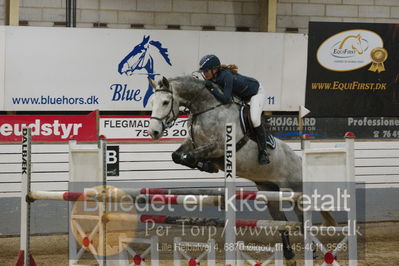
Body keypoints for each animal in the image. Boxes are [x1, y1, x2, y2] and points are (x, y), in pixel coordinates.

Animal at [148, 76, 336, 260]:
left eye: (165, 102)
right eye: (151, 102)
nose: (153, 132)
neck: (205, 108)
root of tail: (299, 160)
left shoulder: (219, 146)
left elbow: (190, 155)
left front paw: (206, 164)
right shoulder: (192, 143)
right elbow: (177, 156)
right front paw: (204, 165)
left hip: (294, 193)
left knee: (303, 222)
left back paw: (312, 253)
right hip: (269, 192)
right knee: (281, 221)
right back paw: (289, 254)